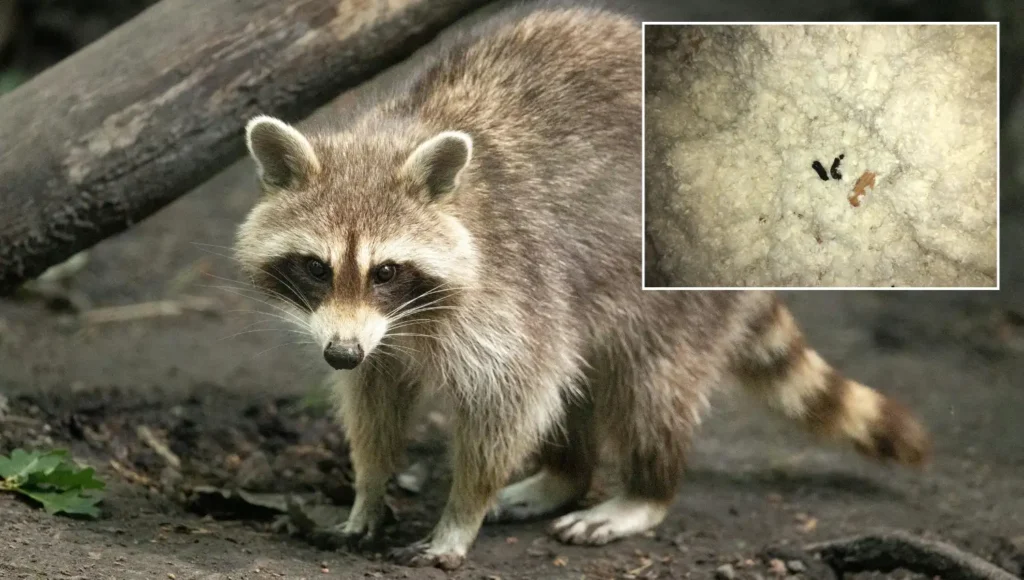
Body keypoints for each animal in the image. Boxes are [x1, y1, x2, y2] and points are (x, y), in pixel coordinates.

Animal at [233, 7, 930, 571]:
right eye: (316, 268)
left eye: (385, 271)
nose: (339, 353)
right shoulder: (375, 337)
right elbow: (374, 399)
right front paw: (368, 488)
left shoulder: (511, 289)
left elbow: (511, 400)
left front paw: (461, 513)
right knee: (576, 373)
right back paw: (565, 474)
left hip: (669, 295)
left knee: (648, 386)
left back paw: (645, 489)